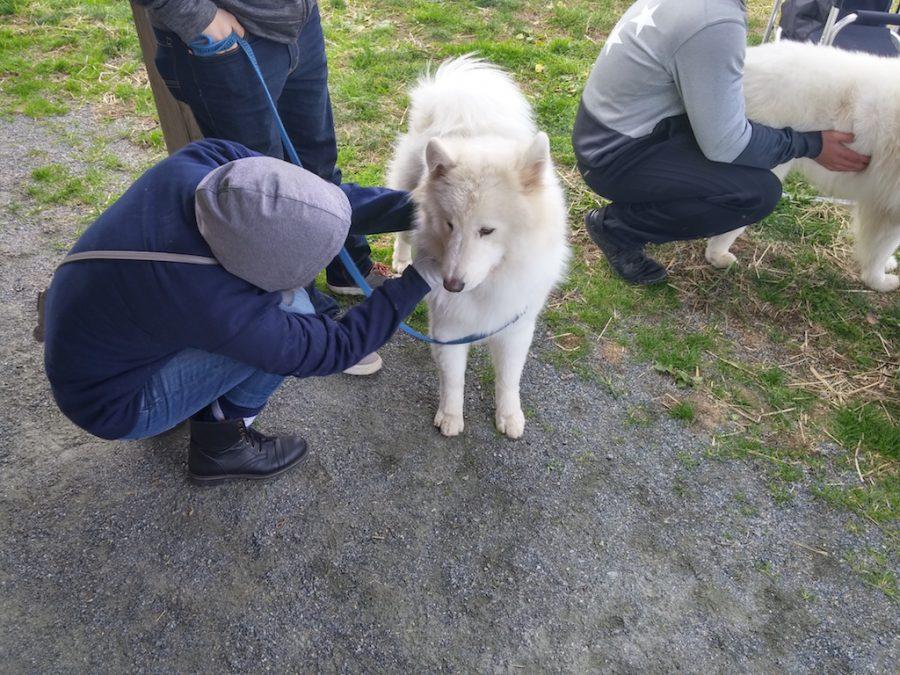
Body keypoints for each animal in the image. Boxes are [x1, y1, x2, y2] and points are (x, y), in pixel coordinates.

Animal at [386, 56, 568, 438]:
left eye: (487, 230)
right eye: (450, 224)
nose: (452, 284)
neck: (490, 284)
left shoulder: (516, 327)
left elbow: (509, 379)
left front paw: (509, 416)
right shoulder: (448, 327)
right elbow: (453, 379)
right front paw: (451, 417)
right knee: (404, 236)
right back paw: (400, 260)